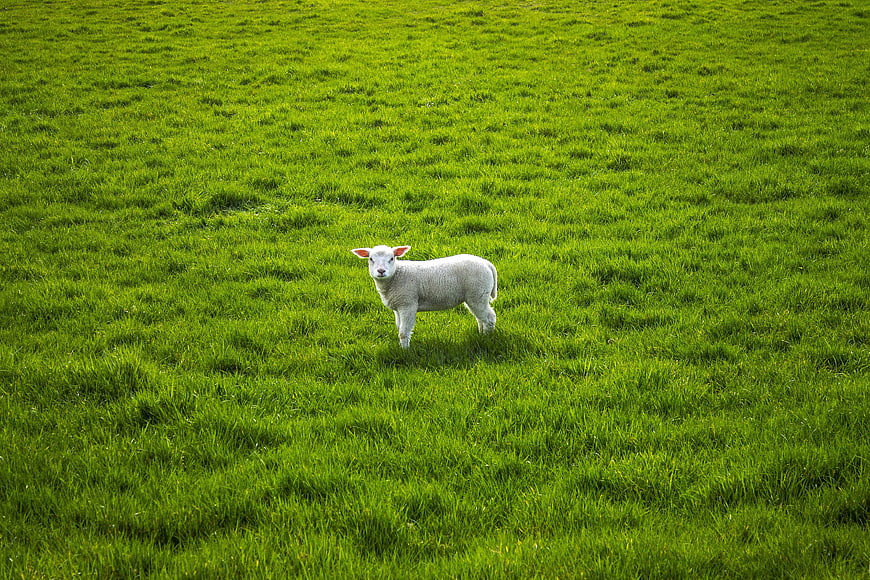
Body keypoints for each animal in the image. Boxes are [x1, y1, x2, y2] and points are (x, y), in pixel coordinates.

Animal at [351, 245, 497, 348]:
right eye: (371, 259)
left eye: (391, 258)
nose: (381, 271)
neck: (396, 275)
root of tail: (487, 264)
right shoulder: (398, 306)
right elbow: (399, 327)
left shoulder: (408, 304)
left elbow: (403, 331)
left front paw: (405, 350)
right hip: (476, 296)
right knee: (481, 317)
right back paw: (481, 334)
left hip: (478, 293)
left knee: (489, 317)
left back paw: (487, 338)